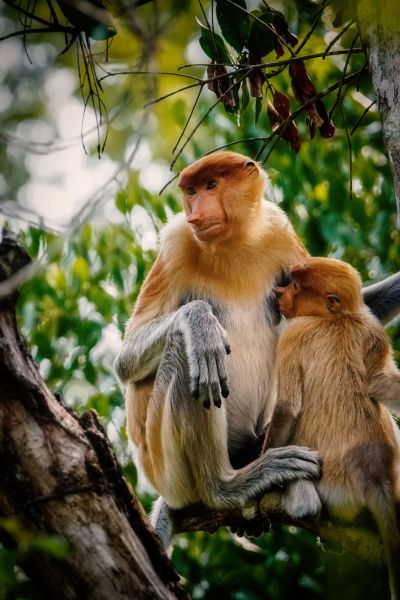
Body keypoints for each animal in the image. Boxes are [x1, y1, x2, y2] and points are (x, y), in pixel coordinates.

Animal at [113, 151, 400, 548]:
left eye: (211, 185)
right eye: (190, 191)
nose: (196, 214)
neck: (232, 243)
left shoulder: (278, 231)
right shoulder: (175, 244)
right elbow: (126, 362)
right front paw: (201, 324)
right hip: (165, 469)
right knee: (184, 352)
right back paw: (231, 485)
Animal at [266, 255, 400, 596]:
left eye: (295, 286)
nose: (278, 293)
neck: (337, 320)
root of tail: (376, 475)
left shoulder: (294, 334)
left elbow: (287, 407)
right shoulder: (371, 331)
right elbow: (381, 382)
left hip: (335, 491)